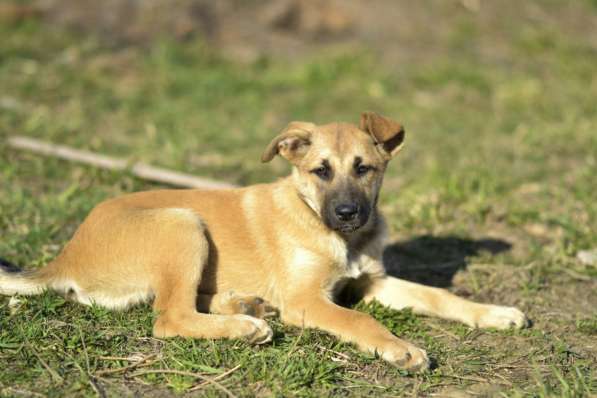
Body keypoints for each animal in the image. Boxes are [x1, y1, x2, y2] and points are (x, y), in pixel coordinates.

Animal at [0, 112, 524, 374]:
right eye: (320, 171)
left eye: (365, 169)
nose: (348, 213)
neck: (337, 236)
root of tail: (65, 257)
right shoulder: (306, 299)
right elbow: (359, 321)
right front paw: (400, 349)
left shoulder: (372, 282)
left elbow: (439, 294)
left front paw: (495, 314)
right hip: (183, 223)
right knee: (168, 316)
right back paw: (245, 325)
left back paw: (244, 305)